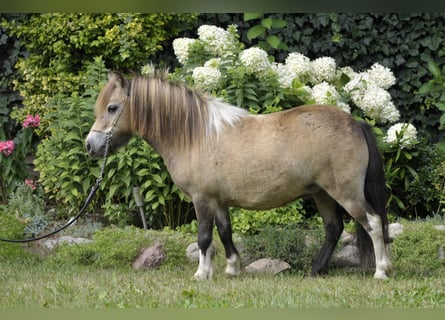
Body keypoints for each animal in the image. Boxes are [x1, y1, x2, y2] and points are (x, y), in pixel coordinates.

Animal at [85, 72, 390, 280]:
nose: (90, 146)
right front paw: (232, 269)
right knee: (333, 229)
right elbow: (225, 233)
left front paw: (201, 274)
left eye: (112, 108)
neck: (195, 136)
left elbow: (204, 238)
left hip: (346, 193)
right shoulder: (219, 201)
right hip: (322, 193)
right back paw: (317, 269)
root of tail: (355, 123)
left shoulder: (202, 199)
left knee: (373, 223)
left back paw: (381, 271)